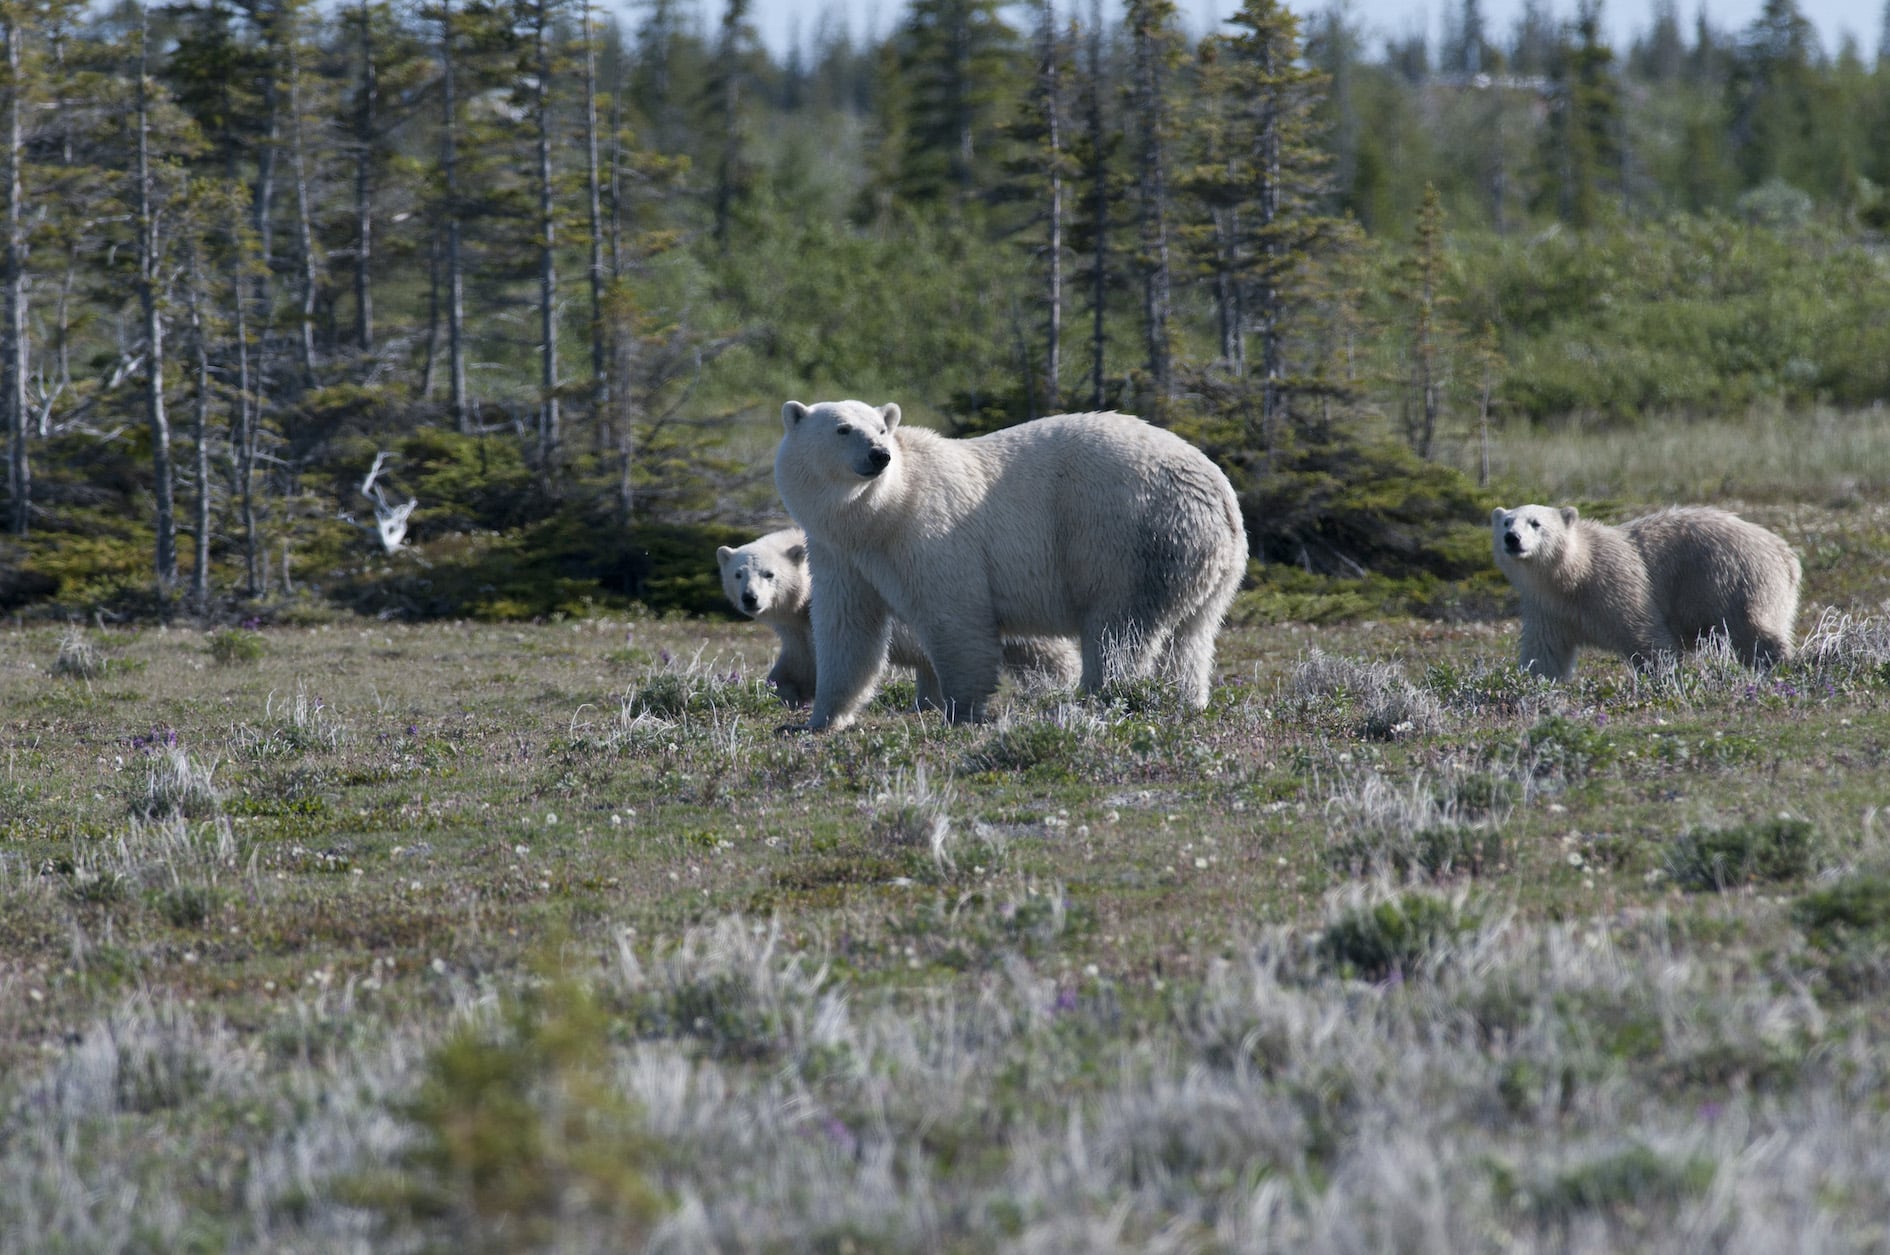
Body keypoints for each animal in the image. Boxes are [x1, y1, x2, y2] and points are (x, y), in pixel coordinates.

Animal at [714, 525, 1081, 710]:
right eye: (738, 574)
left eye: (769, 574)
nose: (750, 599)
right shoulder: (796, 626)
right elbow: (796, 662)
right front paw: (783, 691)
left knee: (1045, 652)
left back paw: (1058, 685)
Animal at [774, 402, 1247, 729]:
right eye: (843, 429)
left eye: (880, 428)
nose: (878, 454)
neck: (878, 517)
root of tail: (1219, 491)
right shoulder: (839, 555)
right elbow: (847, 631)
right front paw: (816, 720)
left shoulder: (931, 533)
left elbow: (955, 618)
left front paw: (960, 711)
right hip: (1202, 561)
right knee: (1190, 637)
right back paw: (1183, 701)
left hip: (1128, 538)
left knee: (1119, 631)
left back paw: (1092, 701)